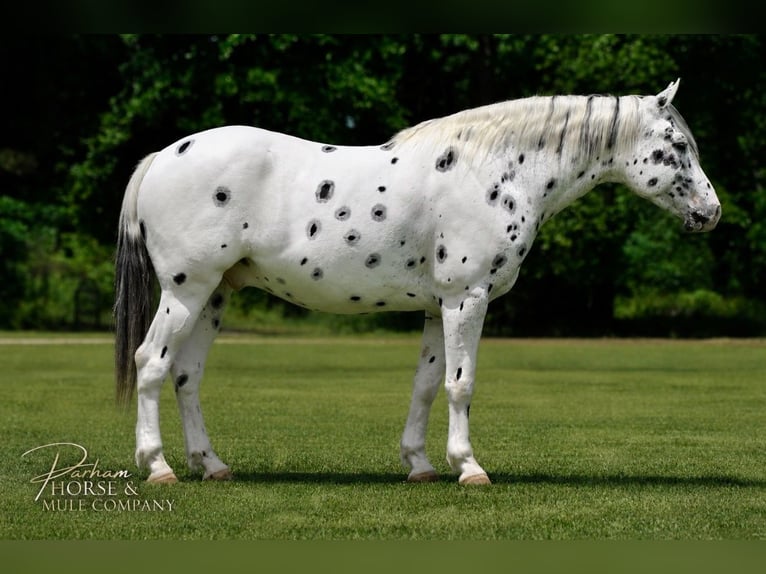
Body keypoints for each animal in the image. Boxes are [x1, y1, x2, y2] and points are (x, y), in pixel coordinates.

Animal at [114, 79, 720, 485]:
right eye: (679, 145)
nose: (711, 212)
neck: (497, 169)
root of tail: (162, 157)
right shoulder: (466, 299)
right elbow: (461, 385)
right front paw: (469, 468)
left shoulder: (437, 306)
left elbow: (427, 385)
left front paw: (421, 464)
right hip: (186, 291)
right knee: (151, 363)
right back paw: (158, 467)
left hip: (213, 296)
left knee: (187, 376)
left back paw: (212, 465)